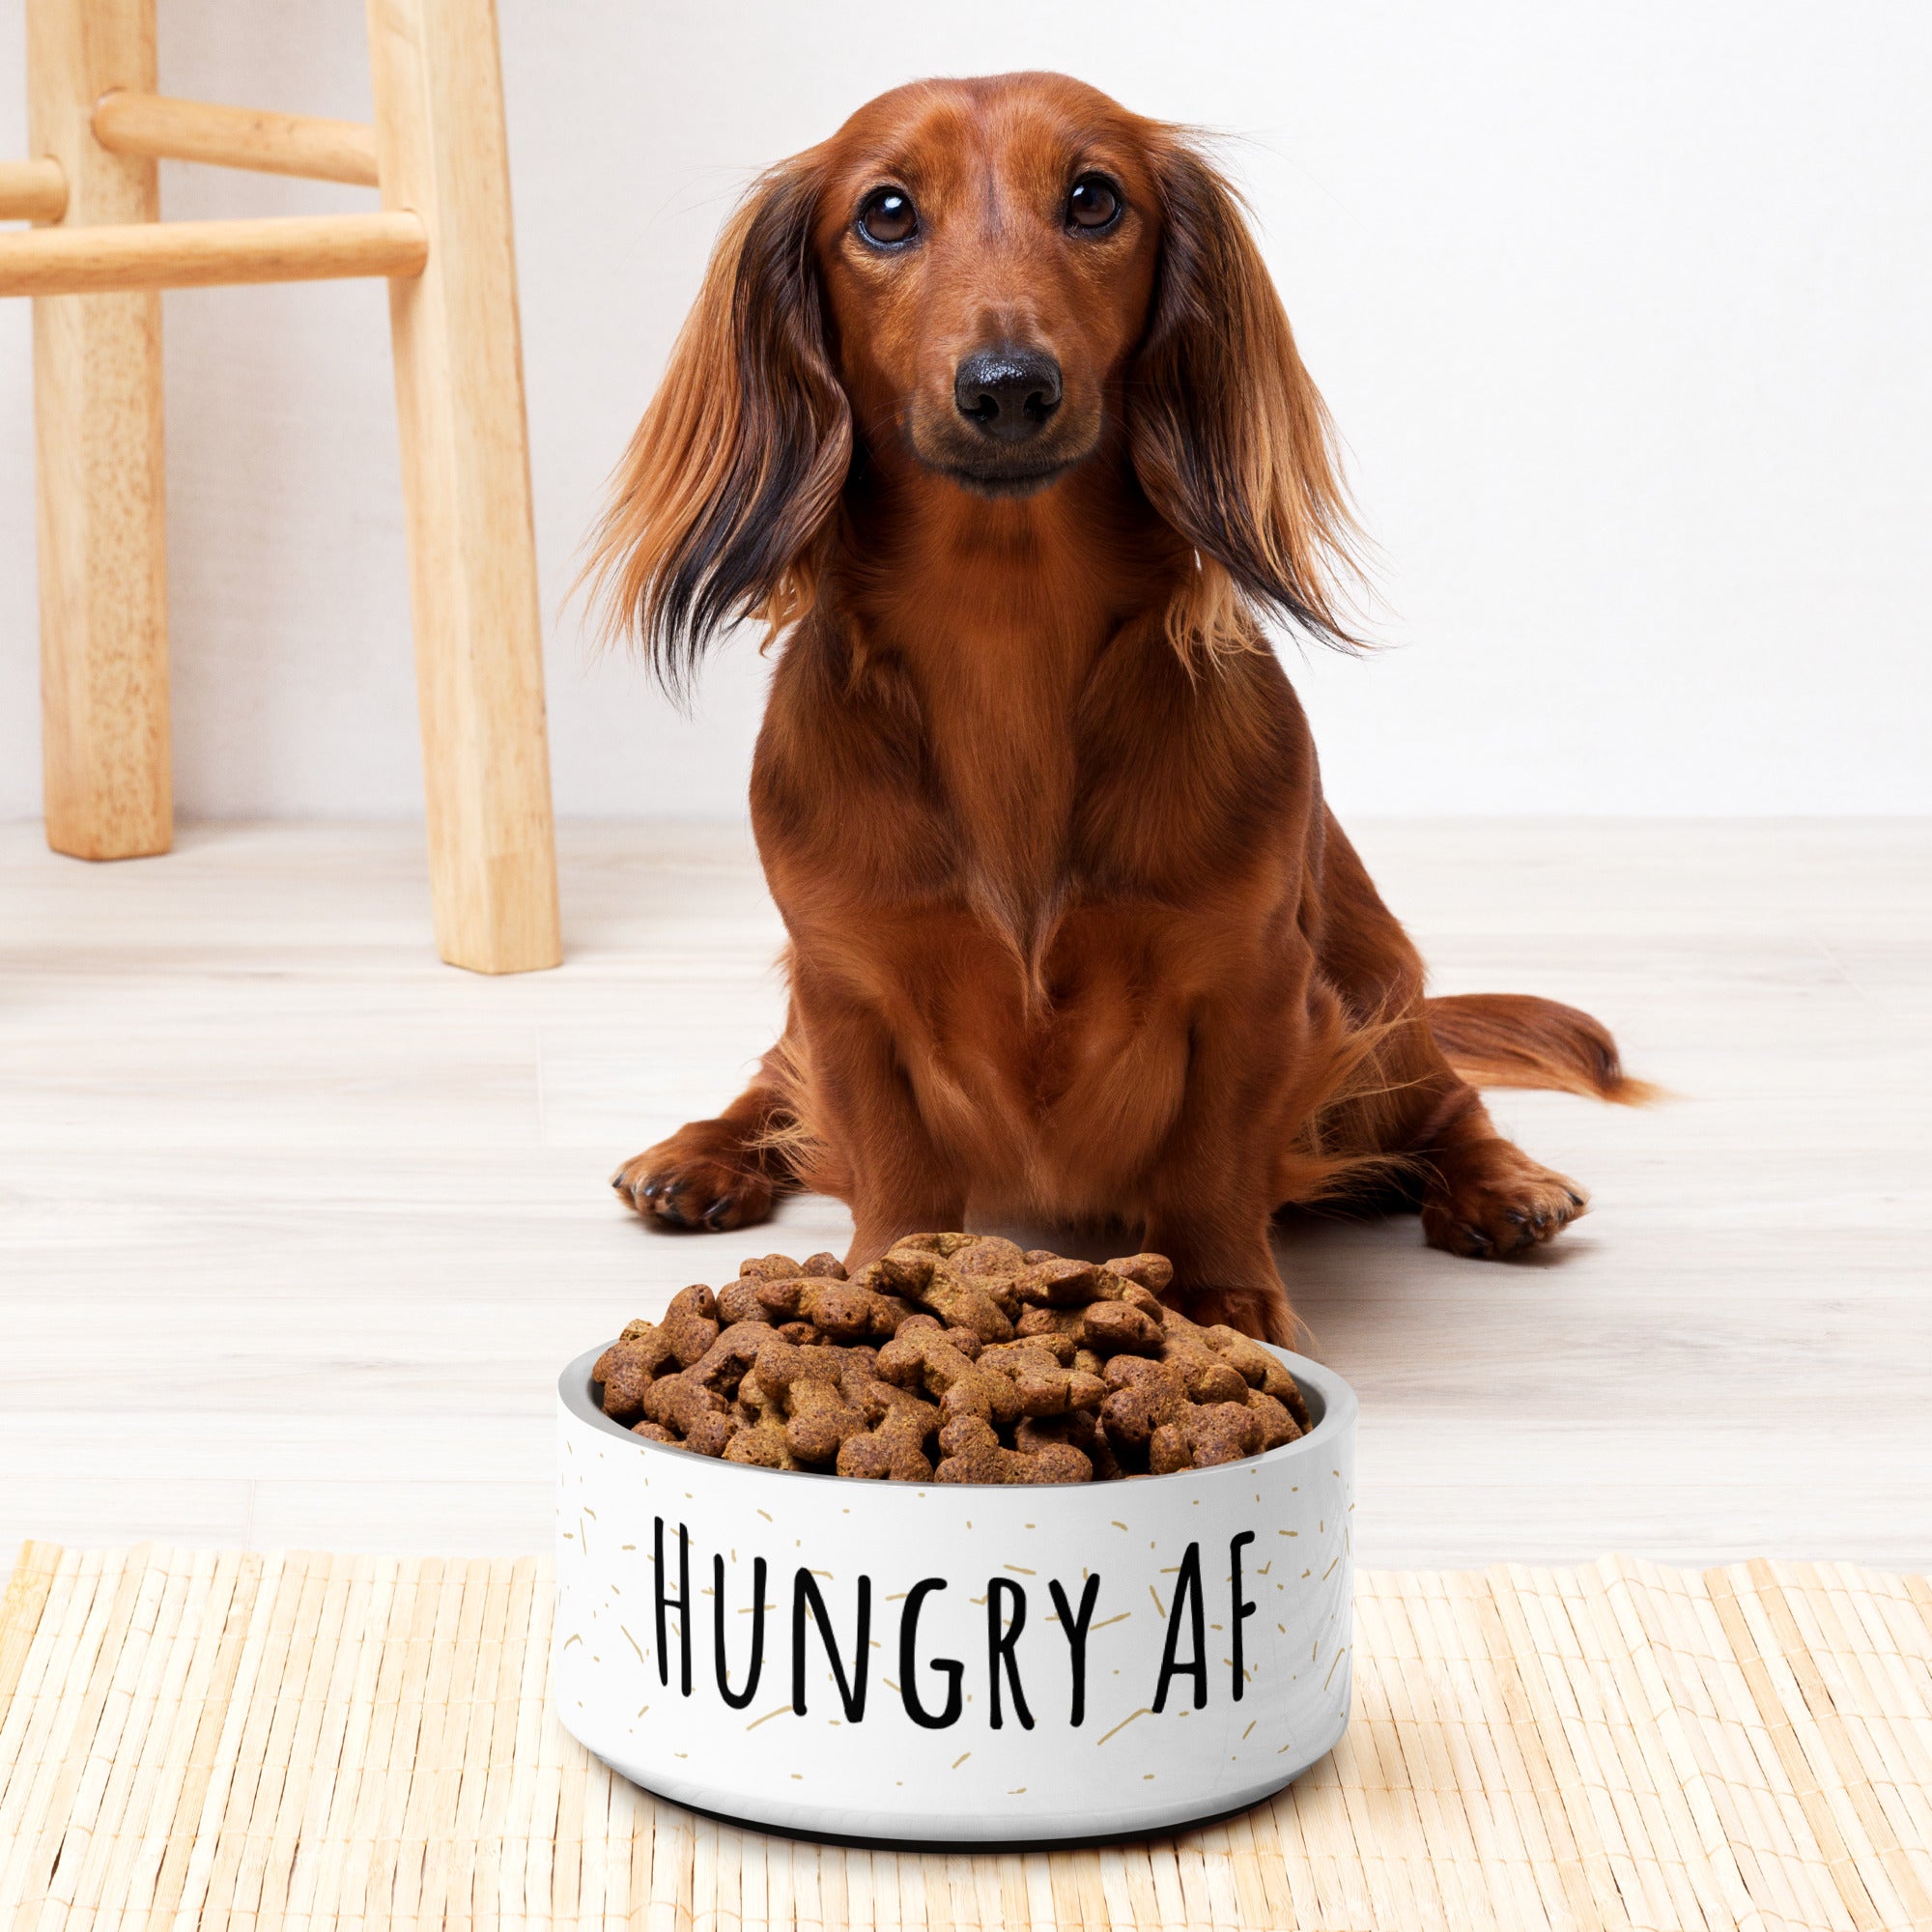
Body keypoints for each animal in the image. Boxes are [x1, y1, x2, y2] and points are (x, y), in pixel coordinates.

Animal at [587, 75, 1646, 1345]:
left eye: (1093, 198)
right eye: (884, 212)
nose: (1007, 387)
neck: (1005, 633)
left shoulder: (1251, 980)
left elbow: (1210, 1158)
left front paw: (1225, 1297)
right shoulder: (845, 982)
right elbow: (888, 1156)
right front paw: (884, 1281)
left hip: (1374, 995)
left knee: (1446, 1100)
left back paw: (1501, 1184)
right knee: (770, 1084)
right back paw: (699, 1154)